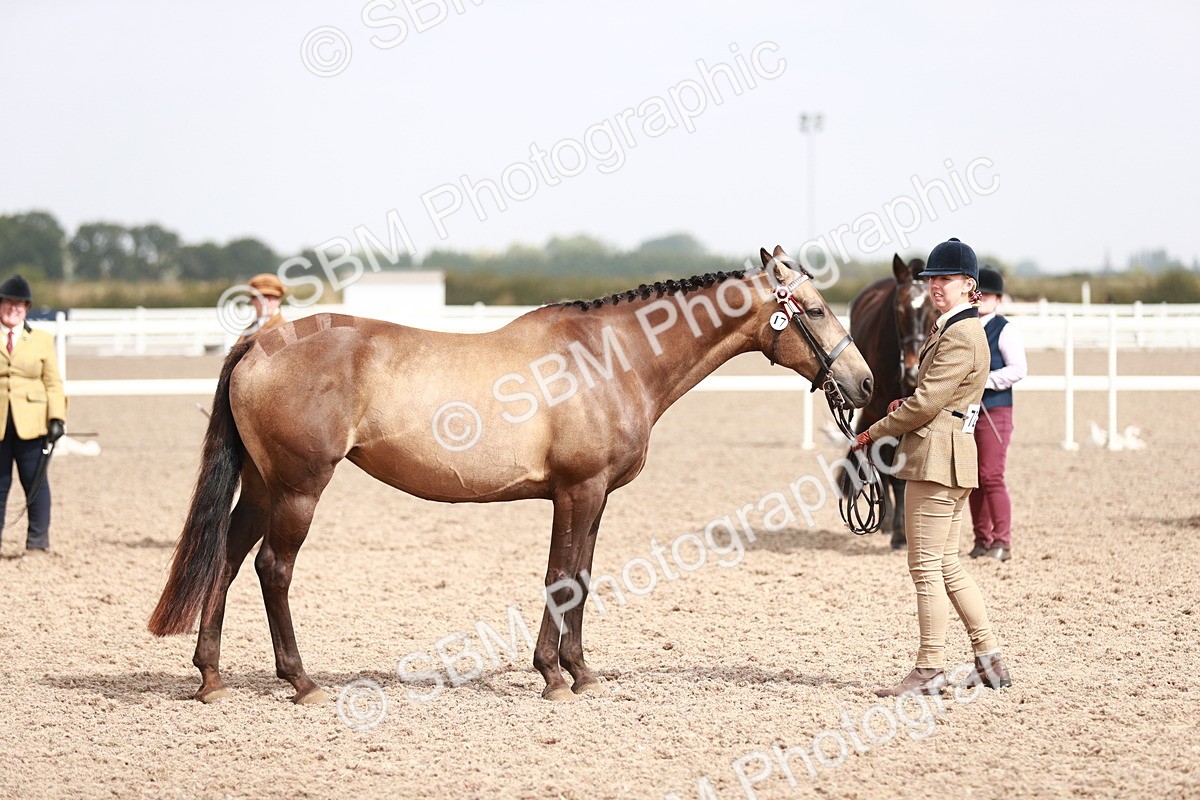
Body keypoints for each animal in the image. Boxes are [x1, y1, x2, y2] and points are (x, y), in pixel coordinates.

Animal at [148, 246, 874, 704]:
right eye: (812, 309)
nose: (865, 382)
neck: (611, 357)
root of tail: (260, 341)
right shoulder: (577, 490)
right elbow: (560, 577)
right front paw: (553, 676)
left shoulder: (595, 497)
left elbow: (582, 576)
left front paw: (581, 672)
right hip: (299, 488)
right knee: (272, 569)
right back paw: (301, 682)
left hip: (262, 486)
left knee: (225, 559)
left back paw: (211, 679)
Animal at [838, 254, 934, 549]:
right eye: (899, 310)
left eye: (933, 310)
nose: (913, 370)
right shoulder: (884, 412)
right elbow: (890, 470)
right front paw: (900, 534)